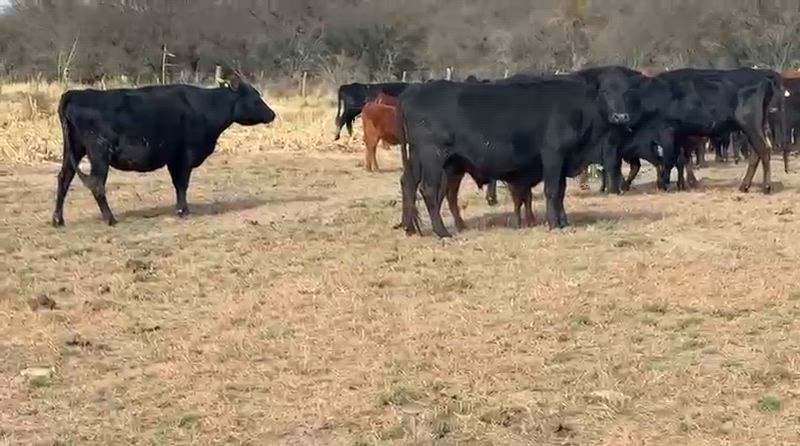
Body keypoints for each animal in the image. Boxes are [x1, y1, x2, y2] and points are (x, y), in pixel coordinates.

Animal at [51, 71, 276, 227]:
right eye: (256, 98)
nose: (272, 114)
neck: (207, 106)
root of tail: (76, 94)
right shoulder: (185, 155)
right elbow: (182, 184)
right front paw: (183, 211)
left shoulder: (173, 158)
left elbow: (177, 184)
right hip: (99, 153)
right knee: (97, 184)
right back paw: (110, 219)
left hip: (73, 150)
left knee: (64, 178)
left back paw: (58, 220)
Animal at [397, 75, 635, 238]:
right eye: (604, 92)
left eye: (626, 93)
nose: (620, 116)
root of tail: (414, 90)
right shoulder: (553, 154)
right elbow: (552, 191)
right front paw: (554, 224)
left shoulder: (564, 159)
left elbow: (560, 192)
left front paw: (563, 221)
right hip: (432, 156)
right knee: (428, 189)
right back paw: (442, 232)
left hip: (422, 157)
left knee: (409, 183)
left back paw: (410, 227)